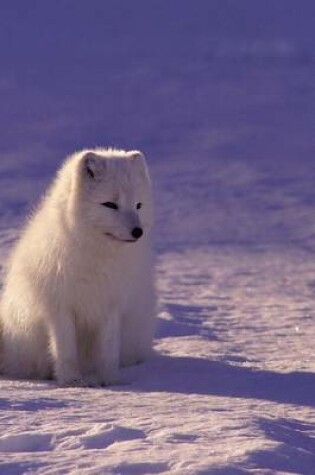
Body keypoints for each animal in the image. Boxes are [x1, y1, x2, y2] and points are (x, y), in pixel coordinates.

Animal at [0, 148, 156, 386]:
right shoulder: (59, 306)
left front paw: (110, 380)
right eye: (110, 204)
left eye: (138, 205)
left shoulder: (111, 305)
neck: (97, 257)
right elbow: (65, 350)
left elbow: (109, 351)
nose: (137, 231)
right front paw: (71, 381)